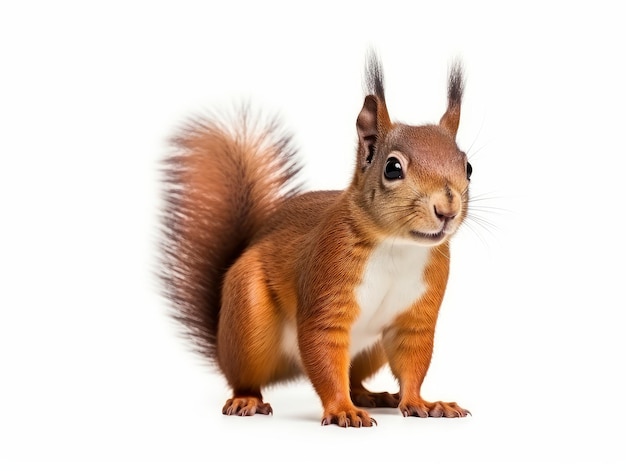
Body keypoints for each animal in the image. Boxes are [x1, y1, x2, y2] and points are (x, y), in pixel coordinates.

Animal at [158, 51, 470, 428]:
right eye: (393, 168)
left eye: (468, 167)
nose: (447, 209)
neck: (398, 246)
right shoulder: (327, 278)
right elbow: (322, 350)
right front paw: (341, 411)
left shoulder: (417, 315)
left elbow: (413, 361)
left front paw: (423, 403)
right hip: (248, 319)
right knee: (247, 375)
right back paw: (248, 399)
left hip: (371, 350)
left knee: (353, 375)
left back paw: (370, 395)